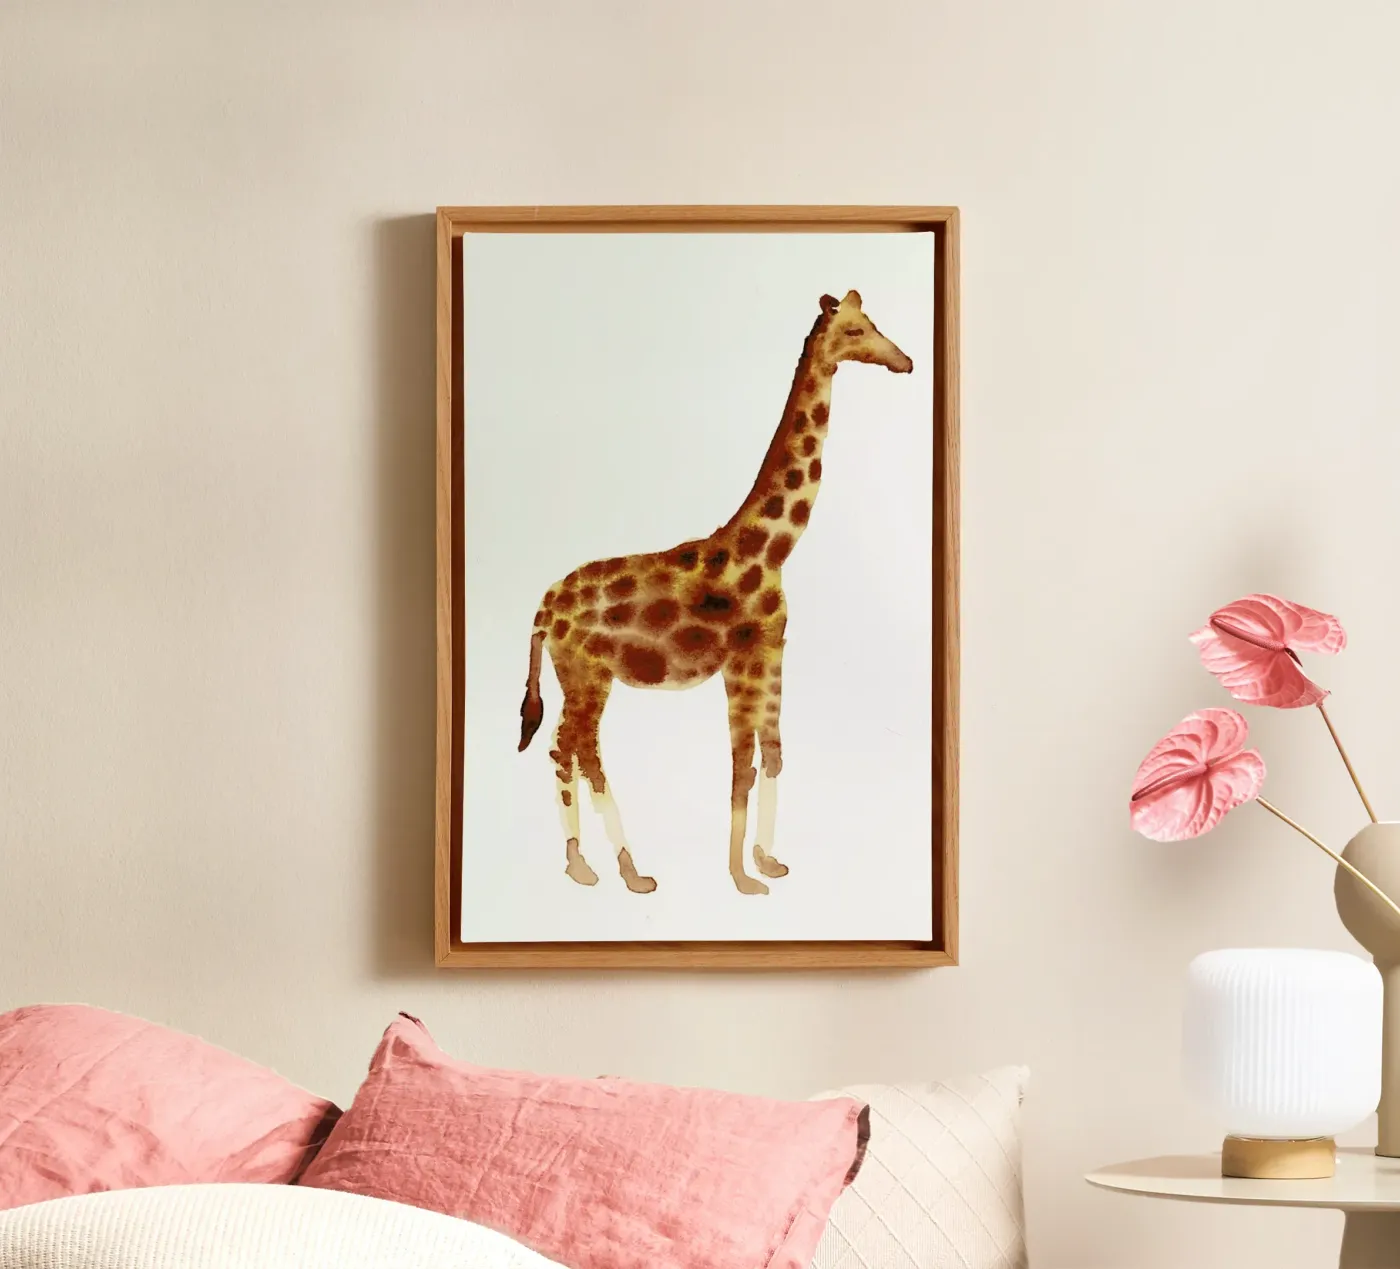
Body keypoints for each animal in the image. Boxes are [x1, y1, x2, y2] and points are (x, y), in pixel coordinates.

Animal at [518, 290, 914, 895]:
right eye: (855, 330)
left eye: (869, 323)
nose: (905, 361)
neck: (772, 550)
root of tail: (541, 611)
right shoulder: (741, 661)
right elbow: (740, 766)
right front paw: (741, 878)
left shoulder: (771, 652)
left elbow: (771, 754)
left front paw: (768, 862)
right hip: (585, 674)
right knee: (573, 750)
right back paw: (610, 869)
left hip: (582, 675)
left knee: (576, 750)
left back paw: (603, 866)